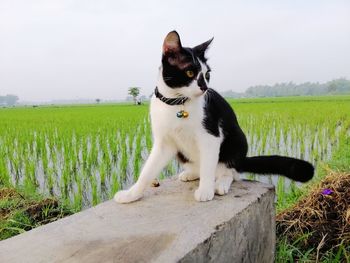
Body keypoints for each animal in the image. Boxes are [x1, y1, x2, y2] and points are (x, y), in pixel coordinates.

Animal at [115, 31, 314, 204]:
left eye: (207, 74)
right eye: (190, 73)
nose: (204, 88)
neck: (177, 103)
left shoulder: (210, 136)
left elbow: (209, 167)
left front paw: (205, 190)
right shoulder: (164, 142)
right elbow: (147, 172)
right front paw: (131, 194)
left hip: (237, 140)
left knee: (230, 172)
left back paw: (220, 183)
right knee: (202, 167)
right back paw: (191, 174)